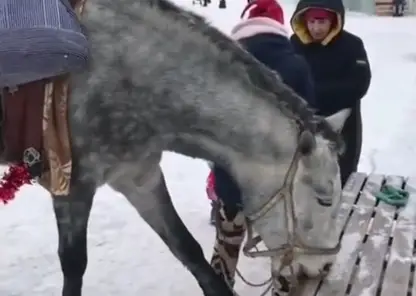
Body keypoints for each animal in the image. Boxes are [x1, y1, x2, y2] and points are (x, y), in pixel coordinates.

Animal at [7, 0, 352, 294]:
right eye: (324, 199)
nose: (323, 266)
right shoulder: (72, 184)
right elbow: (74, 264)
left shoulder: (138, 177)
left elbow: (189, 251)